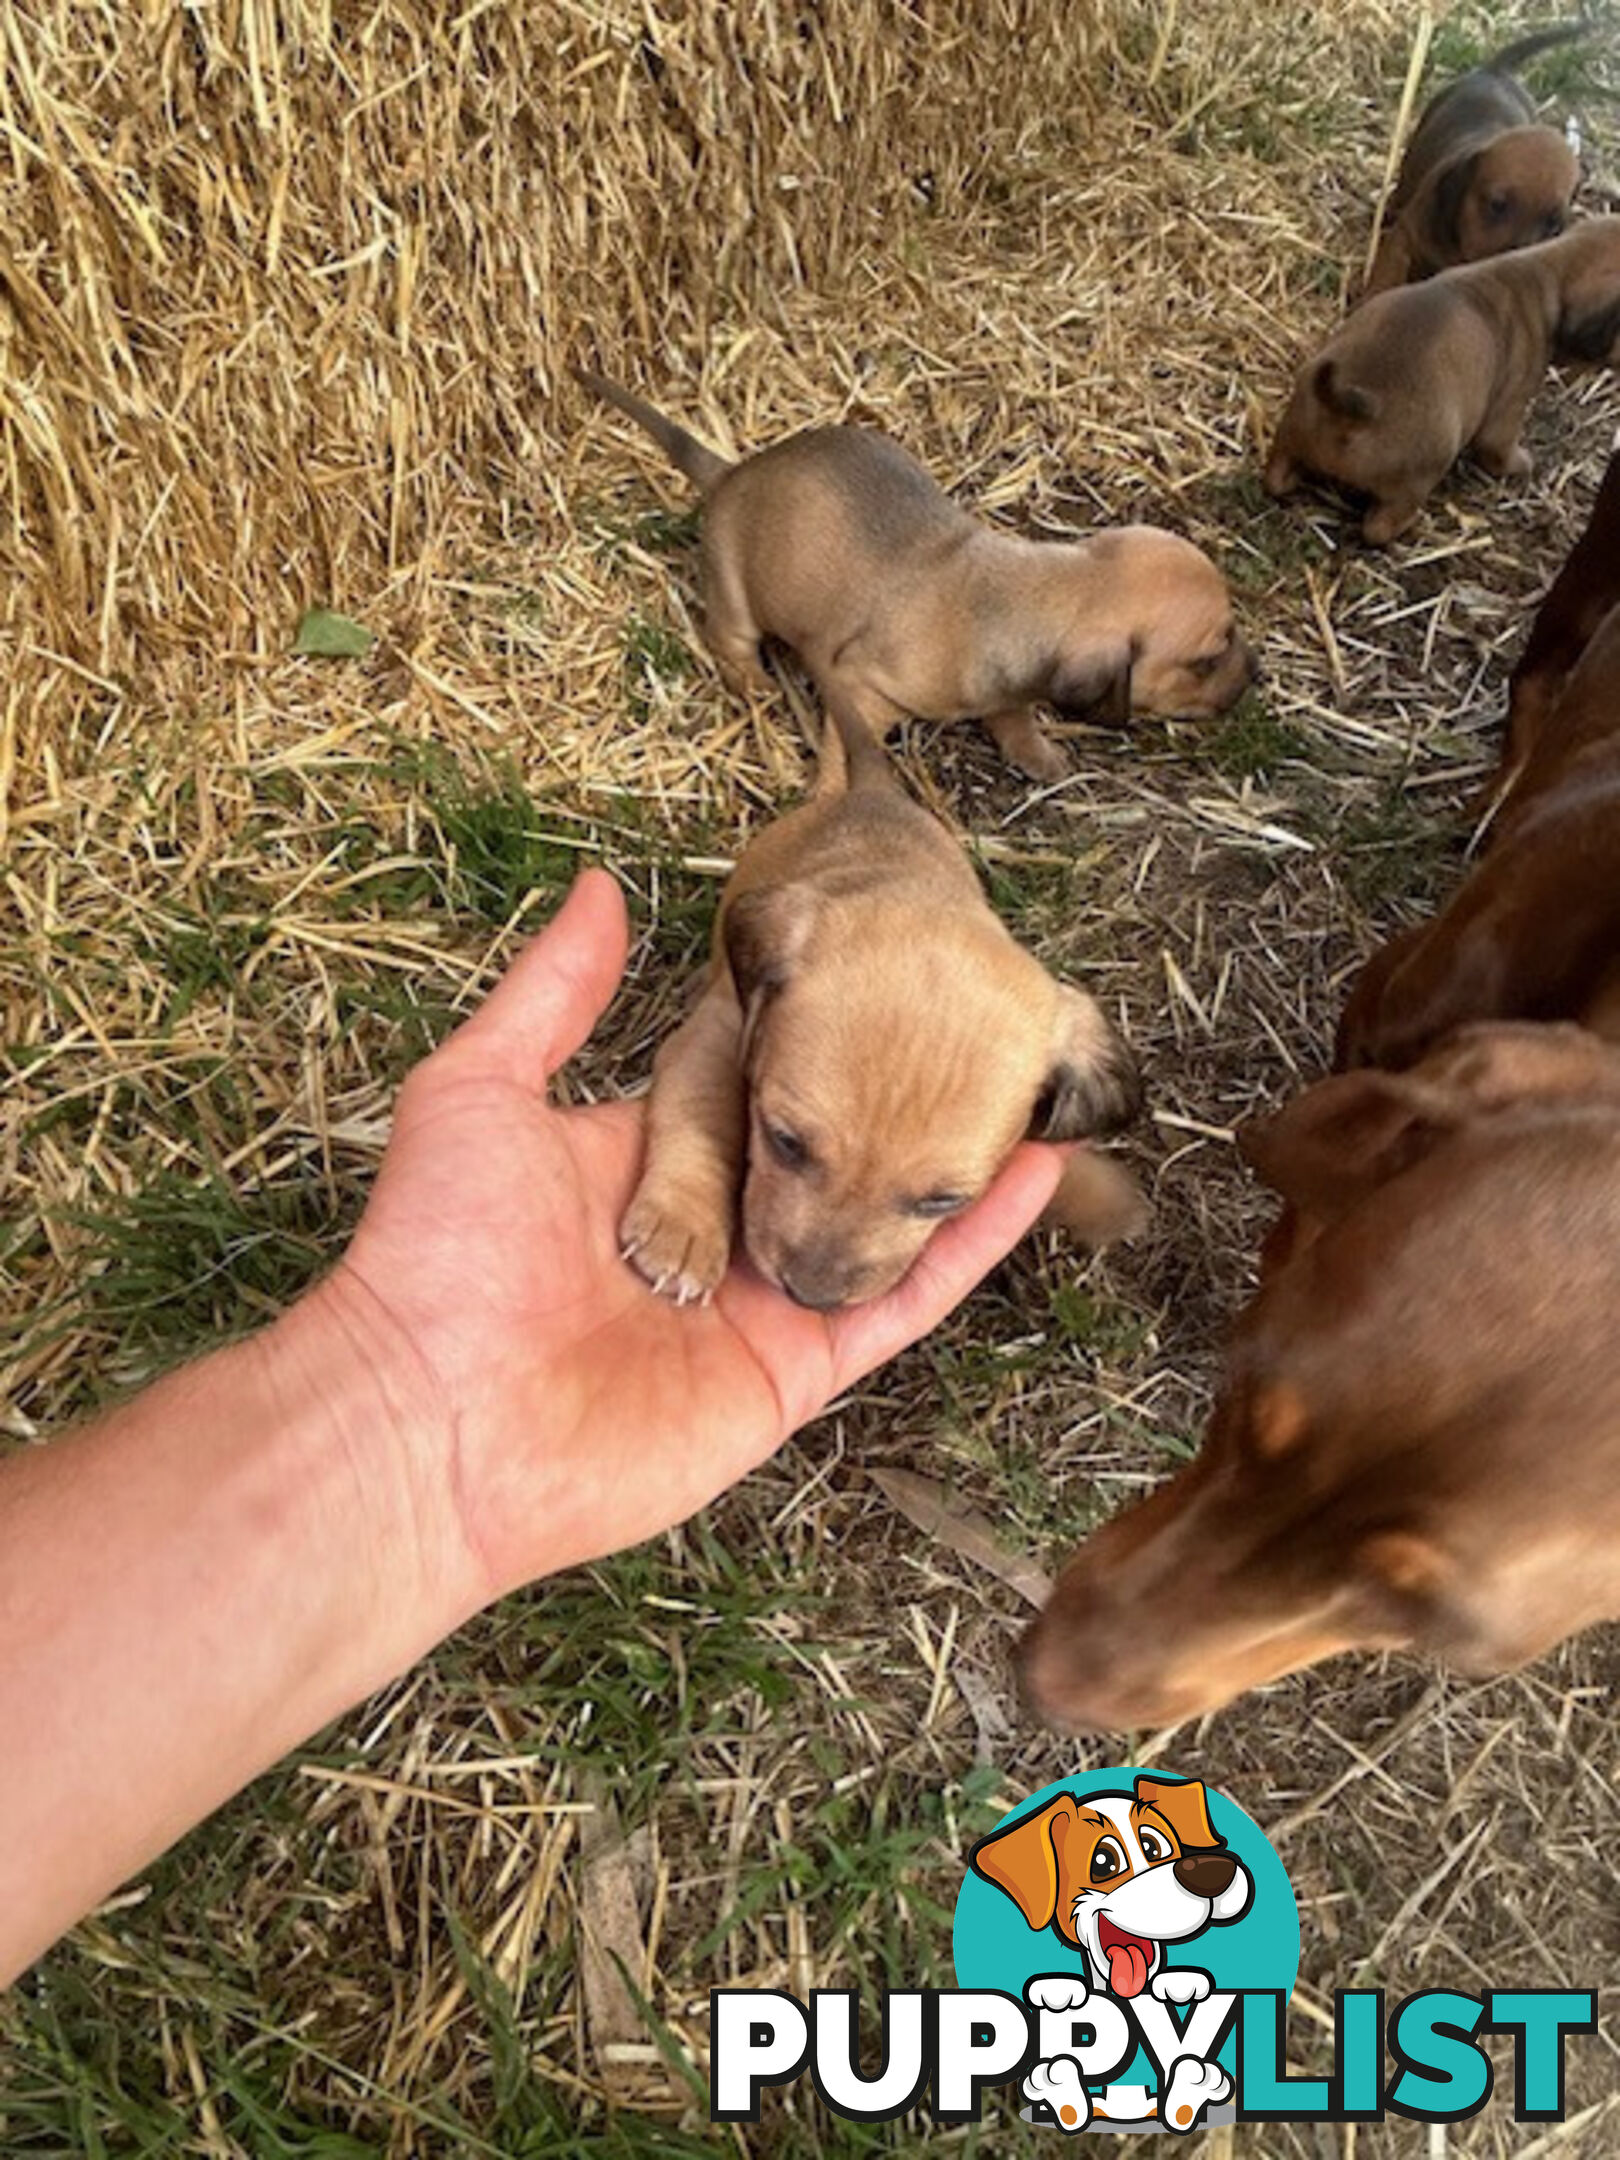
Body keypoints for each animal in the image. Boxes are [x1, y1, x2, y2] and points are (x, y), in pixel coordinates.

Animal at [583, 371, 1252, 786]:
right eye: (1205, 659)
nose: (1259, 673)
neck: (1024, 593)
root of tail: (728, 473)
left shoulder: (1007, 689)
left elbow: (1014, 715)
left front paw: (1036, 753)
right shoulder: (857, 688)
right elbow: (848, 754)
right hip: (733, 591)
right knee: (730, 640)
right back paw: (754, 681)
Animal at [617, 708, 1140, 1313]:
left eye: (943, 1201)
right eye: (785, 1143)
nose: (811, 1296)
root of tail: (869, 789)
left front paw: (1101, 1197)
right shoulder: (718, 1035)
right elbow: (702, 1114)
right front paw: (684, 1230)